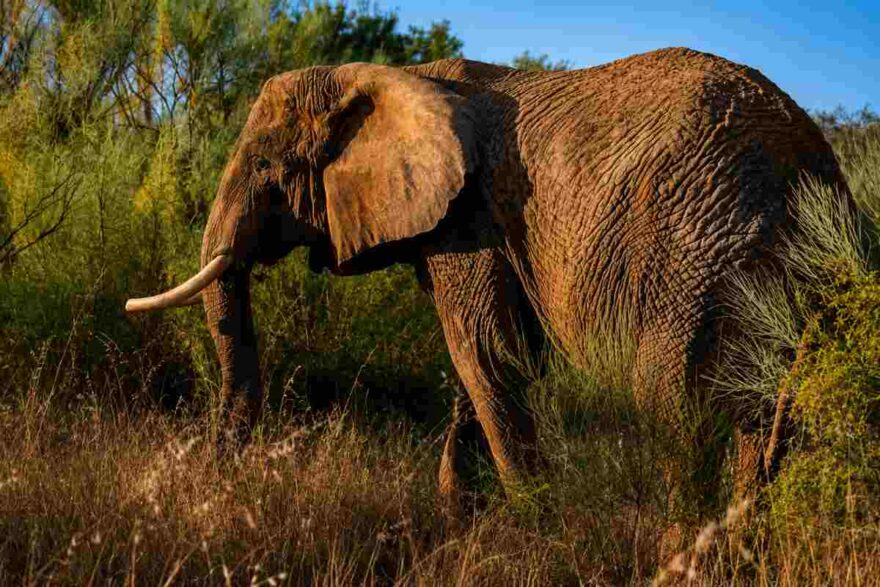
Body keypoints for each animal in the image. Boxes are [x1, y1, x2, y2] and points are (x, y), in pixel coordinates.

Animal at [126, 47, 846, 508]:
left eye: (267, 167)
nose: (215, 484)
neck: (393, 76)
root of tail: (808, 158)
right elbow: (484, 362)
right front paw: (460, 519)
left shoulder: (471, 224)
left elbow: (486, 354)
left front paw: (537, 528)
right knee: (761, 422)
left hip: (695, 258)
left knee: (675, 412)